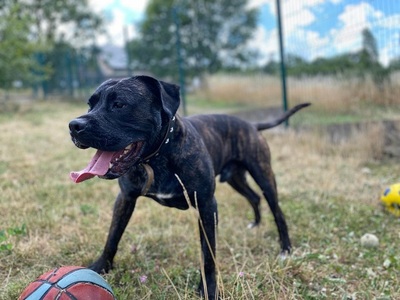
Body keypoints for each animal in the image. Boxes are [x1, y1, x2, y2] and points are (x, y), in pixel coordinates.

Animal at [69, 75, 310, 298]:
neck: (158, 156)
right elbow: (113, 236)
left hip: (264, 176)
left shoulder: (206, 206)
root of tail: (251, 124)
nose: (74, 126)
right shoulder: (125, 198)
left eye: (119, 104)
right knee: (253, 197)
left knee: (277, 211)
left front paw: (209, 289)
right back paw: (256, 224)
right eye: (90, 104)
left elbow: (208, 254)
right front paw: (99, 268)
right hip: (236, 179)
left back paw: (285, 249)